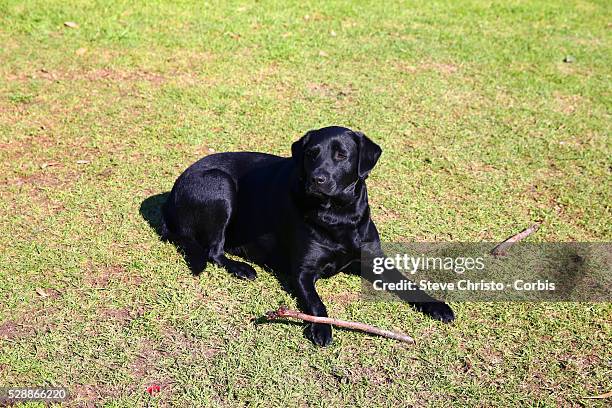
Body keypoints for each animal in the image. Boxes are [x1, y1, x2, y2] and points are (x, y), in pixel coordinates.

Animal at [163, 126, 454, 346]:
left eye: (341, 155)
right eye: (311, 154)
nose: (317, 179)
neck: (338, 215)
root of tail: (172, 195)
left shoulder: (374, 260)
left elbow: (408, 283)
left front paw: (437, 306)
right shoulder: (302, 272)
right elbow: (317, 303)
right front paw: (322, 328)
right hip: (220, 185)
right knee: (214, 250)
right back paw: (241, 268)